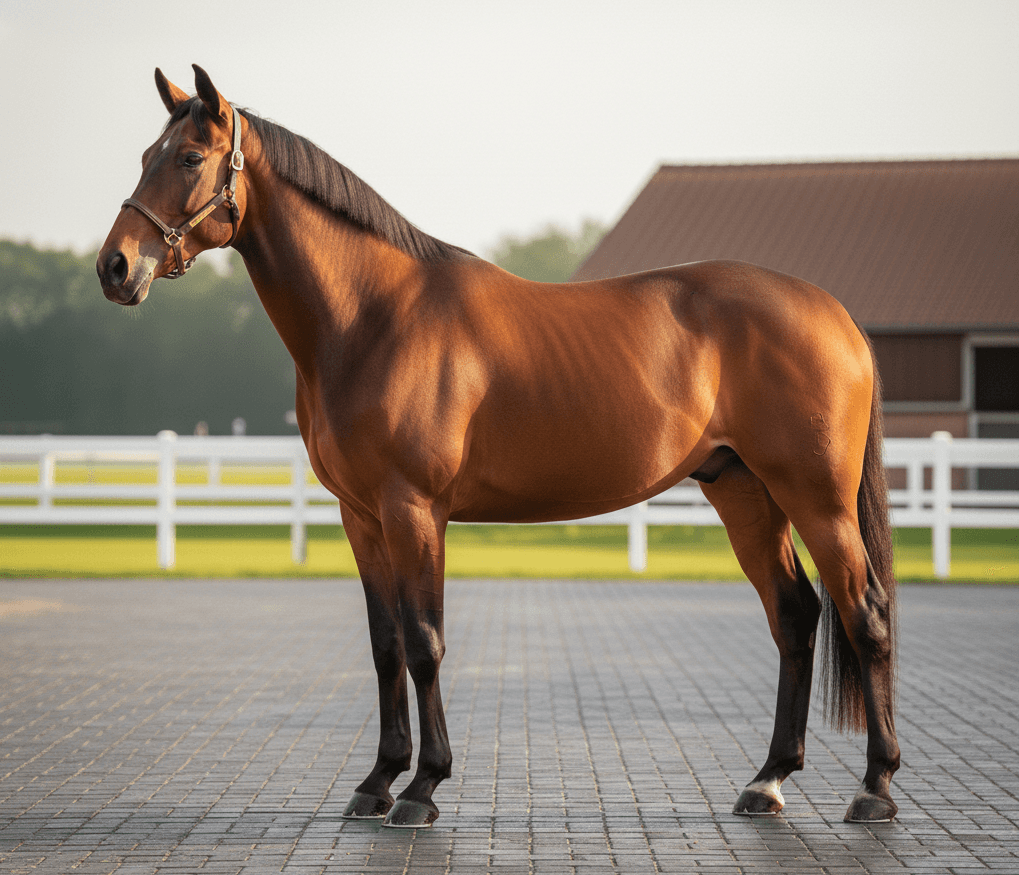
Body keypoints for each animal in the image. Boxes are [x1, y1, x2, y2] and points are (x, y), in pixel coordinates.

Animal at [97, 65, 900, 829]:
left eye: (191, 157)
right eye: (144, 157)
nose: (115, 267)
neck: (374, 317)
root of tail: (836, 316)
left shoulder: (414, 509)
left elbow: (424, 641)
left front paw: (423, 785)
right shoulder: (362, 516)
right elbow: (385, 643)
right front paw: (377, 781)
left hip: (817, 499)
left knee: (864, 613)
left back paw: (875, 788)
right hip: (744, 490)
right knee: (795, 615)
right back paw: (768, 780)